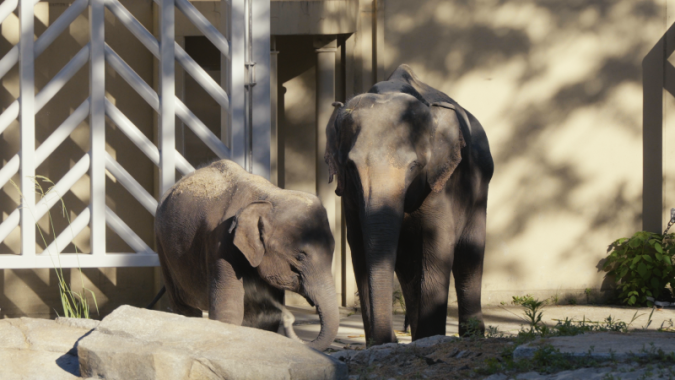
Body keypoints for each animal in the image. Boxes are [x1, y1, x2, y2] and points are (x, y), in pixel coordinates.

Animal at [156, 158, 340, 350]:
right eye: (300, 256)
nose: (290, 320)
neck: (268, 197)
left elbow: (265, 315)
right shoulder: (221, 243)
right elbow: (230, 311)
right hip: (162, 247)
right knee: (183, 307)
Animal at [324, 63, 494, 344]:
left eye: (414, 166)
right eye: (350, 166)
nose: (391, 338)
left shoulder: (440, 184)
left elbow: (436, 246)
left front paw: (428, 340)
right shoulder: (349, 196)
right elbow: (359, 248)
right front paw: (380, 346)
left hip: (480, 188)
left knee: (469, 255)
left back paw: (471, 336)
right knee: (408, 269)